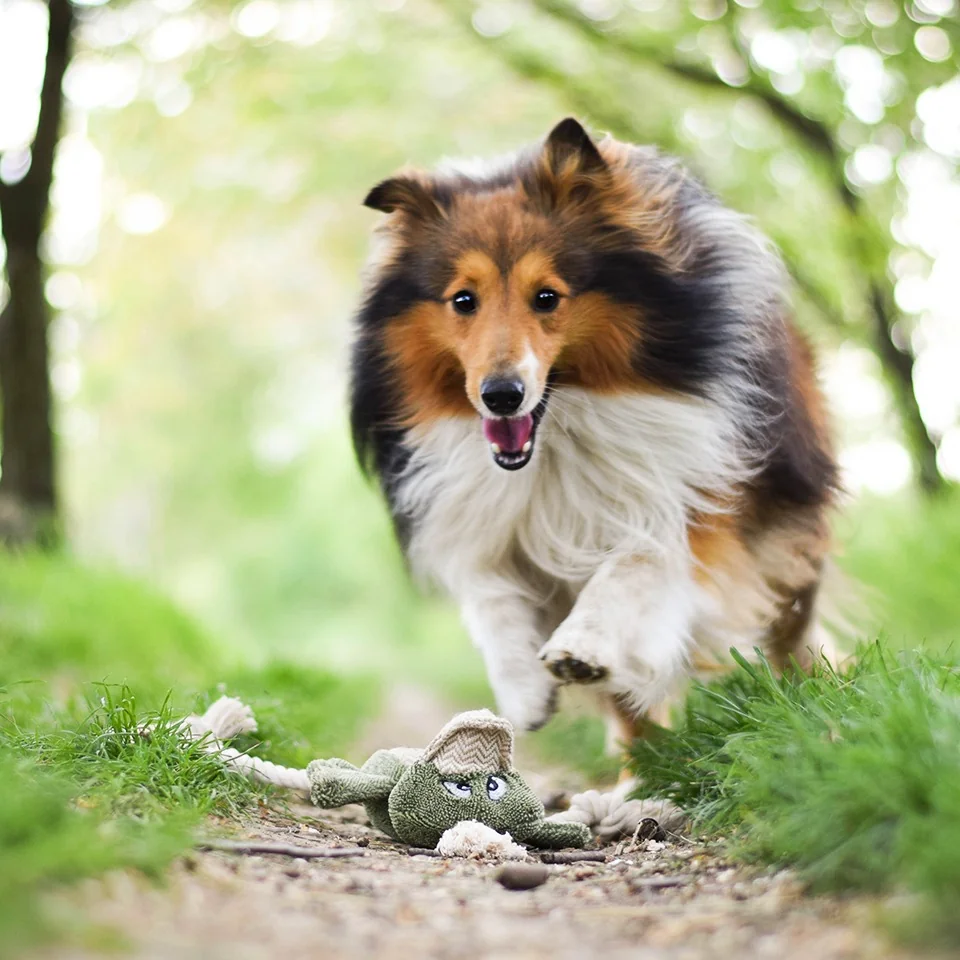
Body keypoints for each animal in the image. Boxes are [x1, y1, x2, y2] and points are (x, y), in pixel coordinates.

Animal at [348, 116, 836, 740]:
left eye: (547, 296)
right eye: (462, 299)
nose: (501, 396)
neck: (560, 435)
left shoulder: (690, 490)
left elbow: (637, 560)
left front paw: (583, 643)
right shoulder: (476, 514)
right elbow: (486, 590)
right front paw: (522, 688)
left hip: (786, 521)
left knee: (790, 627)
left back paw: (813, 705)